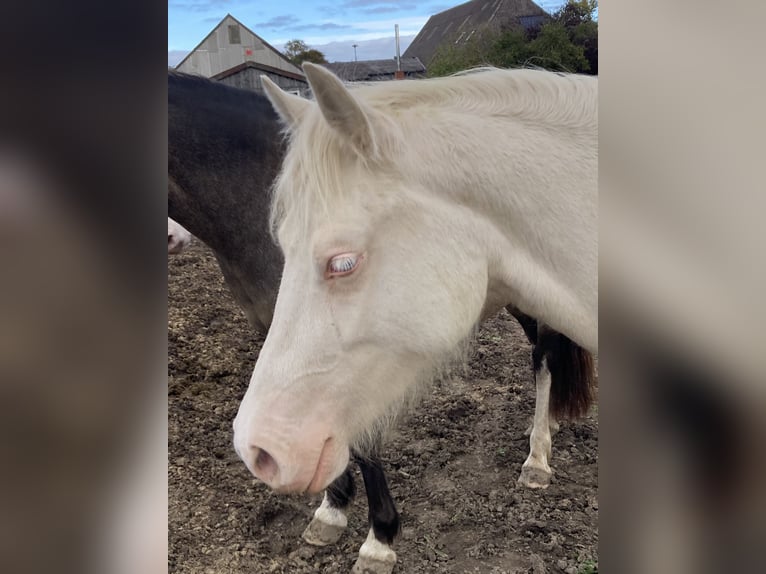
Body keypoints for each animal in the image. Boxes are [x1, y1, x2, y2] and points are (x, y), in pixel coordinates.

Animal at [169, 69, 594, 573]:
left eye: (343, 263)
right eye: (283, 243)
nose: (260, 454)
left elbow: (362, 439)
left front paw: (377, 537)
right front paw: (331, 508)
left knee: (543, 355)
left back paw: (537, 458)